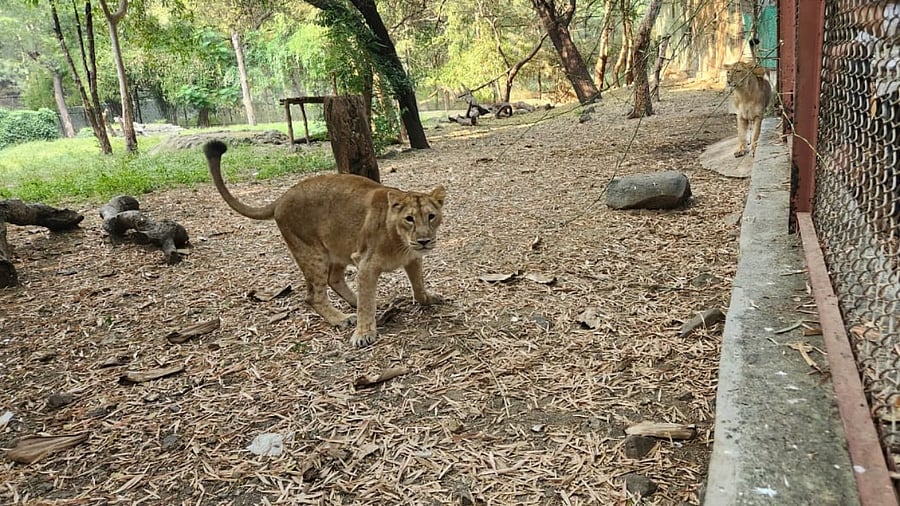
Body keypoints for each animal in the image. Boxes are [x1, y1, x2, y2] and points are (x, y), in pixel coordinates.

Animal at [203, 140, 447, 348]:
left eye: (431, 216)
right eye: (409, 219)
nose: (424, 241)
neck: (401, 241)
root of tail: (281, 199)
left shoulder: (412, 259)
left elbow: (418, 284)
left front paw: (428, 298)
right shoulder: (365, 264)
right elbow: (368, 301)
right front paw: (363, 333)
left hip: (338, 248)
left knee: (335, 279)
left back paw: (357, 303)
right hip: (312, 253)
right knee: (313, 296)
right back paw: (342, 319)